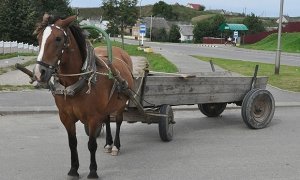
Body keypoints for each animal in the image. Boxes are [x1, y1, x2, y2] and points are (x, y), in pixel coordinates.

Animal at [32, 13, 134, 179]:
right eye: (39, 38)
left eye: (58, 38)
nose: (39, 73)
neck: (74, 83)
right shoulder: (66, 117)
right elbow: (72, 143)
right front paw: (74, 169)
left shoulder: (92, 118)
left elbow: (91, 144)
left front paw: (93, 171)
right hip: (106, 106)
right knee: (107, 119)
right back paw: (108, 143)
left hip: (121, 103)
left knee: (118, 121)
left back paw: (115, 146)